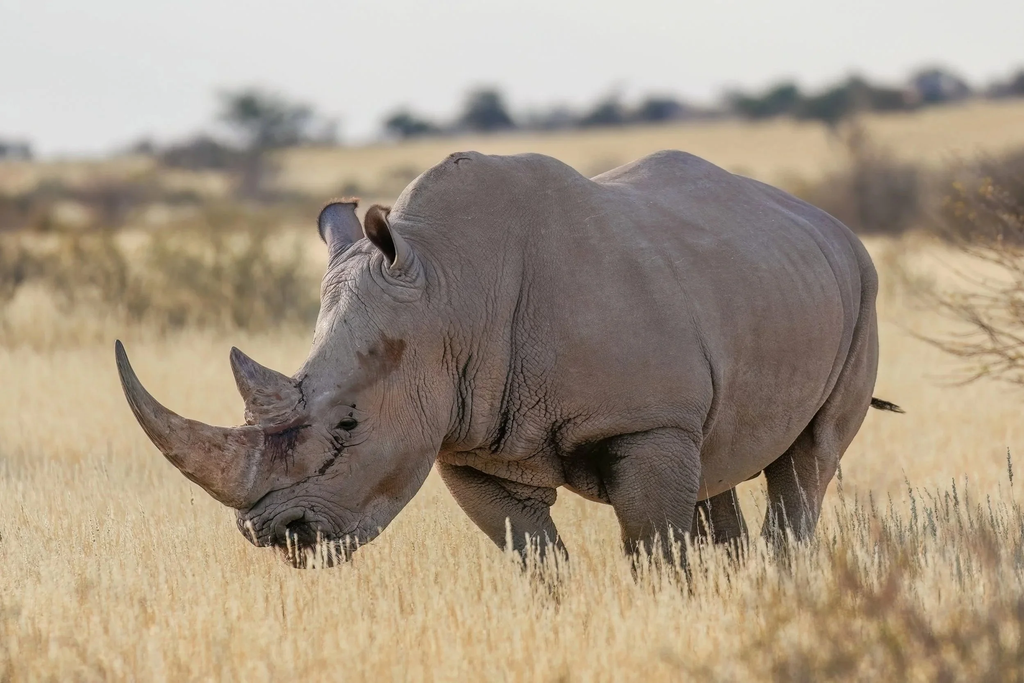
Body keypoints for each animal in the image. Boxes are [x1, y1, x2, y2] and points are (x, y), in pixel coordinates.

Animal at [115, 150, 901, 568]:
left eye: (348, 427)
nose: (275, 535)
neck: (448, 292)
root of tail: (828, 224)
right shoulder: (471, 444)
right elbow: (534, 557)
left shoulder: (646, 422)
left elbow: (654, 546)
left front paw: (672, 613)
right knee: (721, 465)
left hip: (862, 288)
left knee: (806, 464)